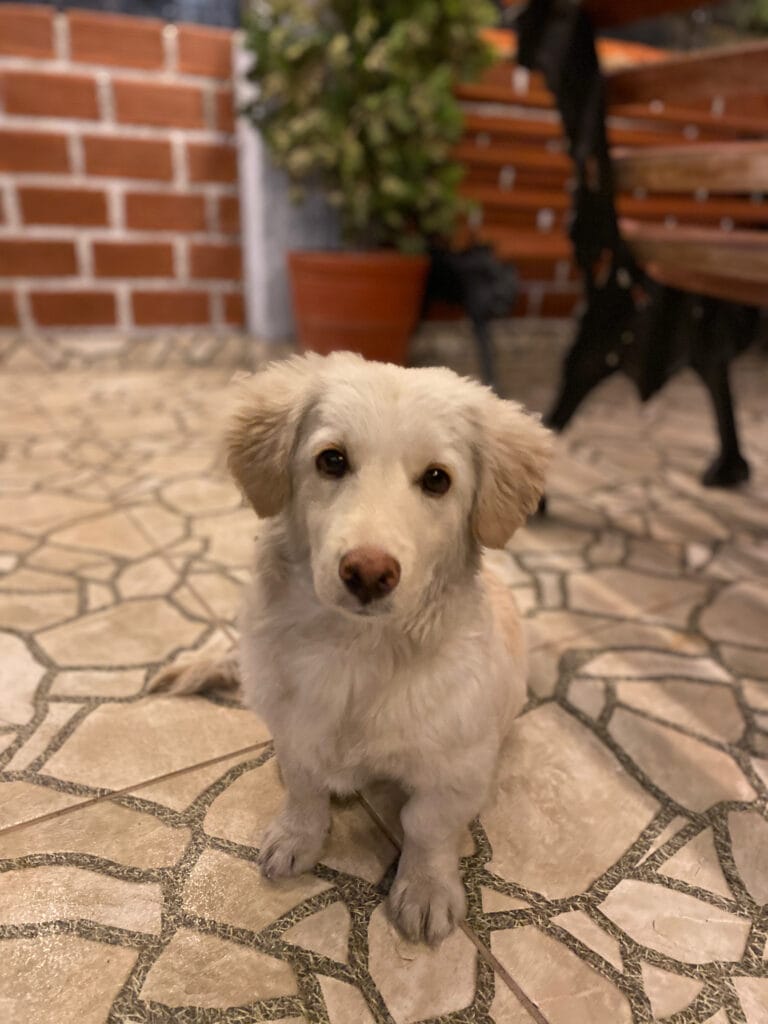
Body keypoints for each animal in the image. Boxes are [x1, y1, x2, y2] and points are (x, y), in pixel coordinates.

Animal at [157, 352, 552, 942]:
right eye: (332, 460)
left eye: (438, 479)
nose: (368, 573)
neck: (354, 651)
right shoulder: (293, 732)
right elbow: (303, 791)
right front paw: (295, 839)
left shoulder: (455, 772)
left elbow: (427, 828)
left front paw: (425, 890)